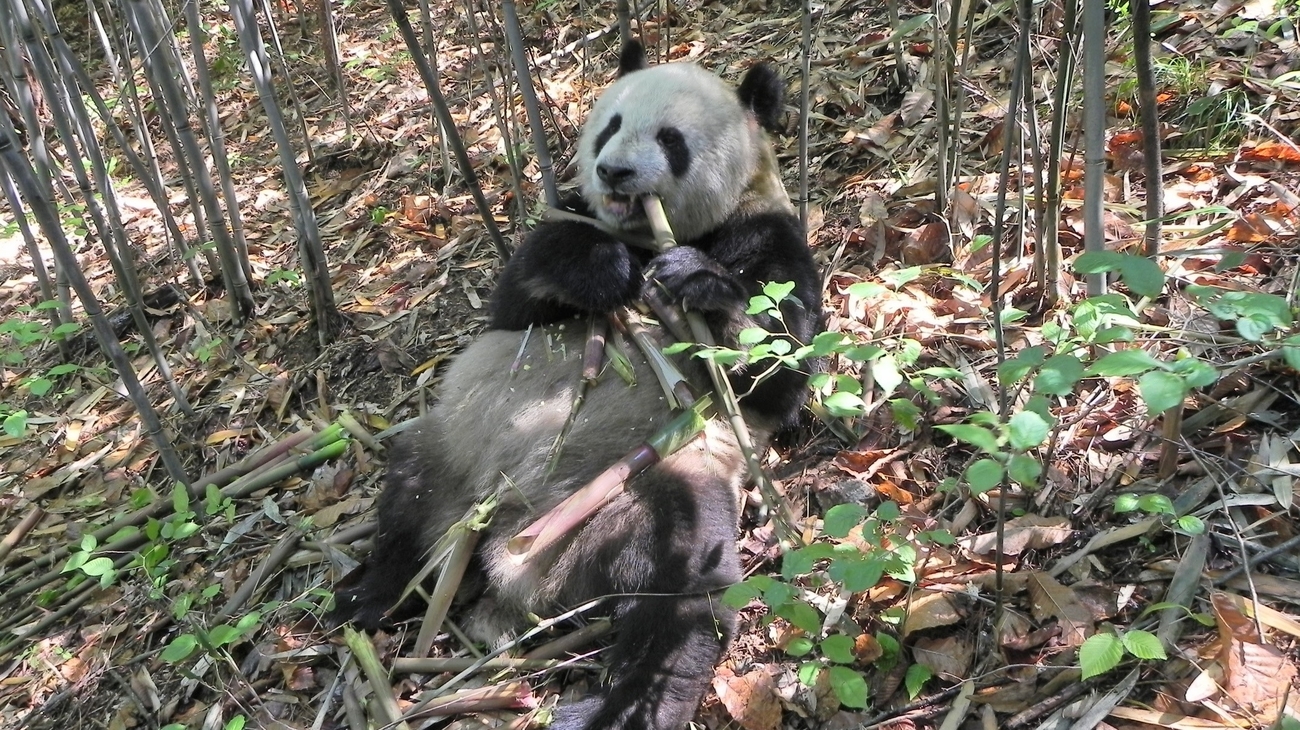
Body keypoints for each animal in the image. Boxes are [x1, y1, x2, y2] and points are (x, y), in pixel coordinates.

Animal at [334, 42, 821, 730]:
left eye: (671, 139)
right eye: (611, 125)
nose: (614, 171)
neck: (651, 235)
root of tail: (512, 554)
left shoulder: (766, 231)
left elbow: (779, 370)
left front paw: (697, 279)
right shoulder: (570, 227)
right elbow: (516, 301)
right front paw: (602, 270)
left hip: (637, 491)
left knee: (680, 588)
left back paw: (623, 706)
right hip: (457, 446)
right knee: (406, 501)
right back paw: (370, 596)